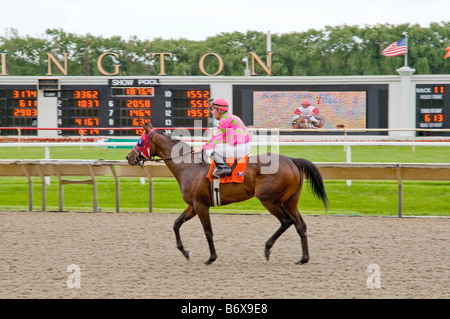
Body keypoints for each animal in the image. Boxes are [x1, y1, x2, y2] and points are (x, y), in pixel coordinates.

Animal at [126, 122, 326, 264]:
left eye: (139, 140)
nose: (129, 157)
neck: (189, 166)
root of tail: (292, 160)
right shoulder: (192, 205)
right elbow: (176, 224)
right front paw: (186, 252)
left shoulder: (200, 204)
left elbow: (208, 231)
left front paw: (211, 258)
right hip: (290, 201)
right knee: (300, 225)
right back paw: (303, 258)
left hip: (269, 200)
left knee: (287, 221)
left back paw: (268, 248)